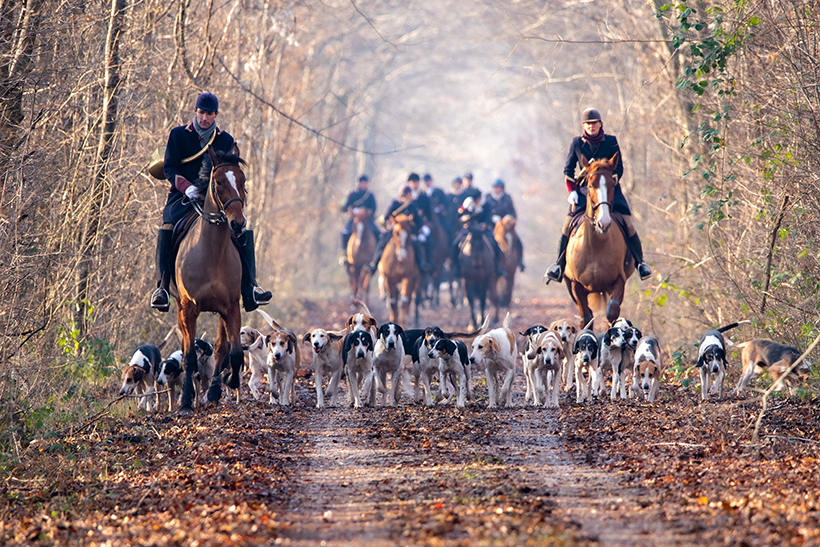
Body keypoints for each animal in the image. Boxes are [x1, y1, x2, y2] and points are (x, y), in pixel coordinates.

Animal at [175, 146, 248, 416]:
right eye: (218, 182)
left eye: (243, 181)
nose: (238, 224)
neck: (212, 251)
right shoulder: (188, 308)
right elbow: (189, 357)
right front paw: (186, 402)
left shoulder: (231, 306)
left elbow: (233, 352)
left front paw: (227, 382)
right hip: (179, 306)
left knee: (220, 347)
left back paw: (215, 389)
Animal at [564, 152, 636, 328]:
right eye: (590, 185)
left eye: (612, 185)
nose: (604, 222)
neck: (595, 245)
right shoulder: (576, 285)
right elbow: (586, 317)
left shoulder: (618, 281)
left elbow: (612, 312)